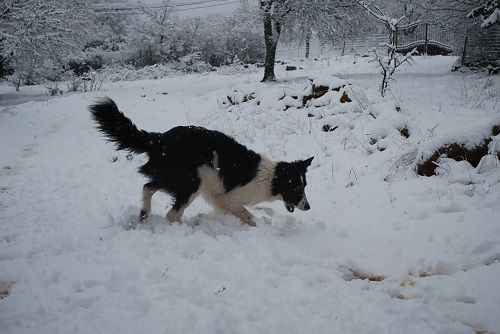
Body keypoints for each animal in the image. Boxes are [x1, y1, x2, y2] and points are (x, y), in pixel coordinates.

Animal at [88, 98, 310, 226]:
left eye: (304, 185)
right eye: (296, 187)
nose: (308, 207)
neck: (271, 177)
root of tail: (161, 139)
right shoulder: (227, 197)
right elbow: (248, 216)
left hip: (177, 179)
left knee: (148, 187)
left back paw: (144, 214)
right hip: (192, 183)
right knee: (171, 214)